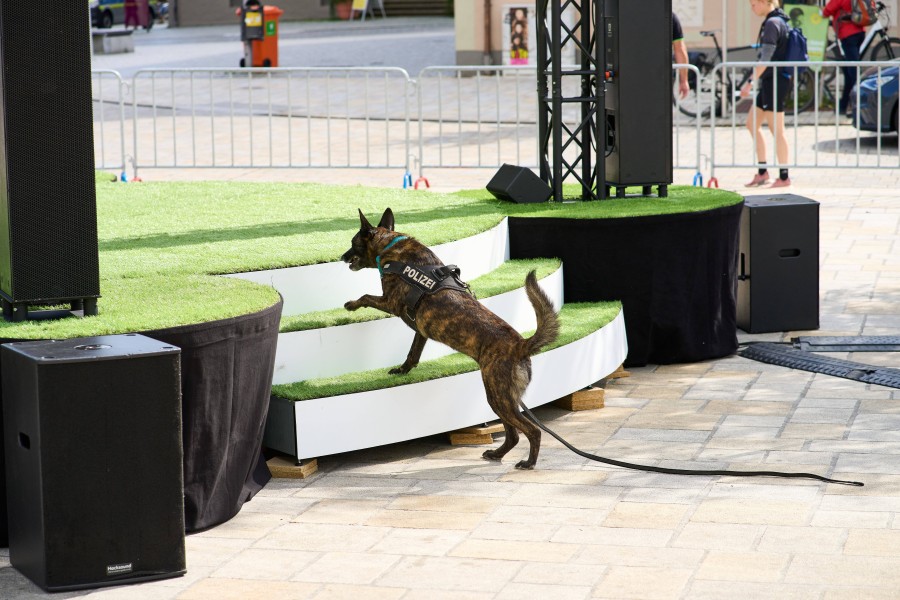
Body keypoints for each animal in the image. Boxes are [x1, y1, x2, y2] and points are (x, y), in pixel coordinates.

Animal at [342, 207, 560, 468]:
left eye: (353, 243)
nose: (342, 257)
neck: (391, 245)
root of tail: (521, 345)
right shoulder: (420, 330)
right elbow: (413, 353)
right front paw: (403, 370)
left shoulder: (390, 302)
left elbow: (365, 296)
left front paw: (351, 304)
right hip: (505, 398)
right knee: (514, 435)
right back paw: (497, 454)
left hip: (497, 395)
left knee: (532, 431)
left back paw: (528, 463)